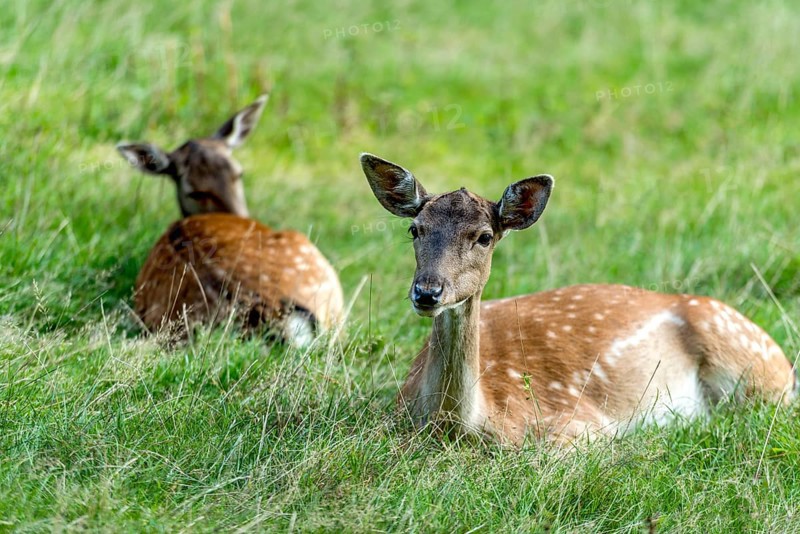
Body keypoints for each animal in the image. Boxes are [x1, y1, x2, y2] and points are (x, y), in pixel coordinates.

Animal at [360, 153, 797, 446]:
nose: (427, 292)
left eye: (484, 236)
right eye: (415, 229)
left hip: (754, 371)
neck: (460, 424)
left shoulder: (579, 425)